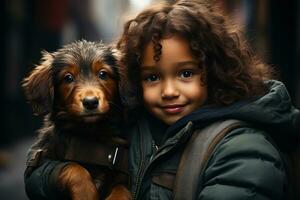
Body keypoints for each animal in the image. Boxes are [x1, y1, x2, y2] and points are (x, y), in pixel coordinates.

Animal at [22, 39, 131, 199]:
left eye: (103, 74)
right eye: (68, 78)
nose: (91, 102)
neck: (91, 135)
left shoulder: (122, 175)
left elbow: (121, 189)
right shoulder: (38, 164)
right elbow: (74, 168)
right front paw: (86, 194)